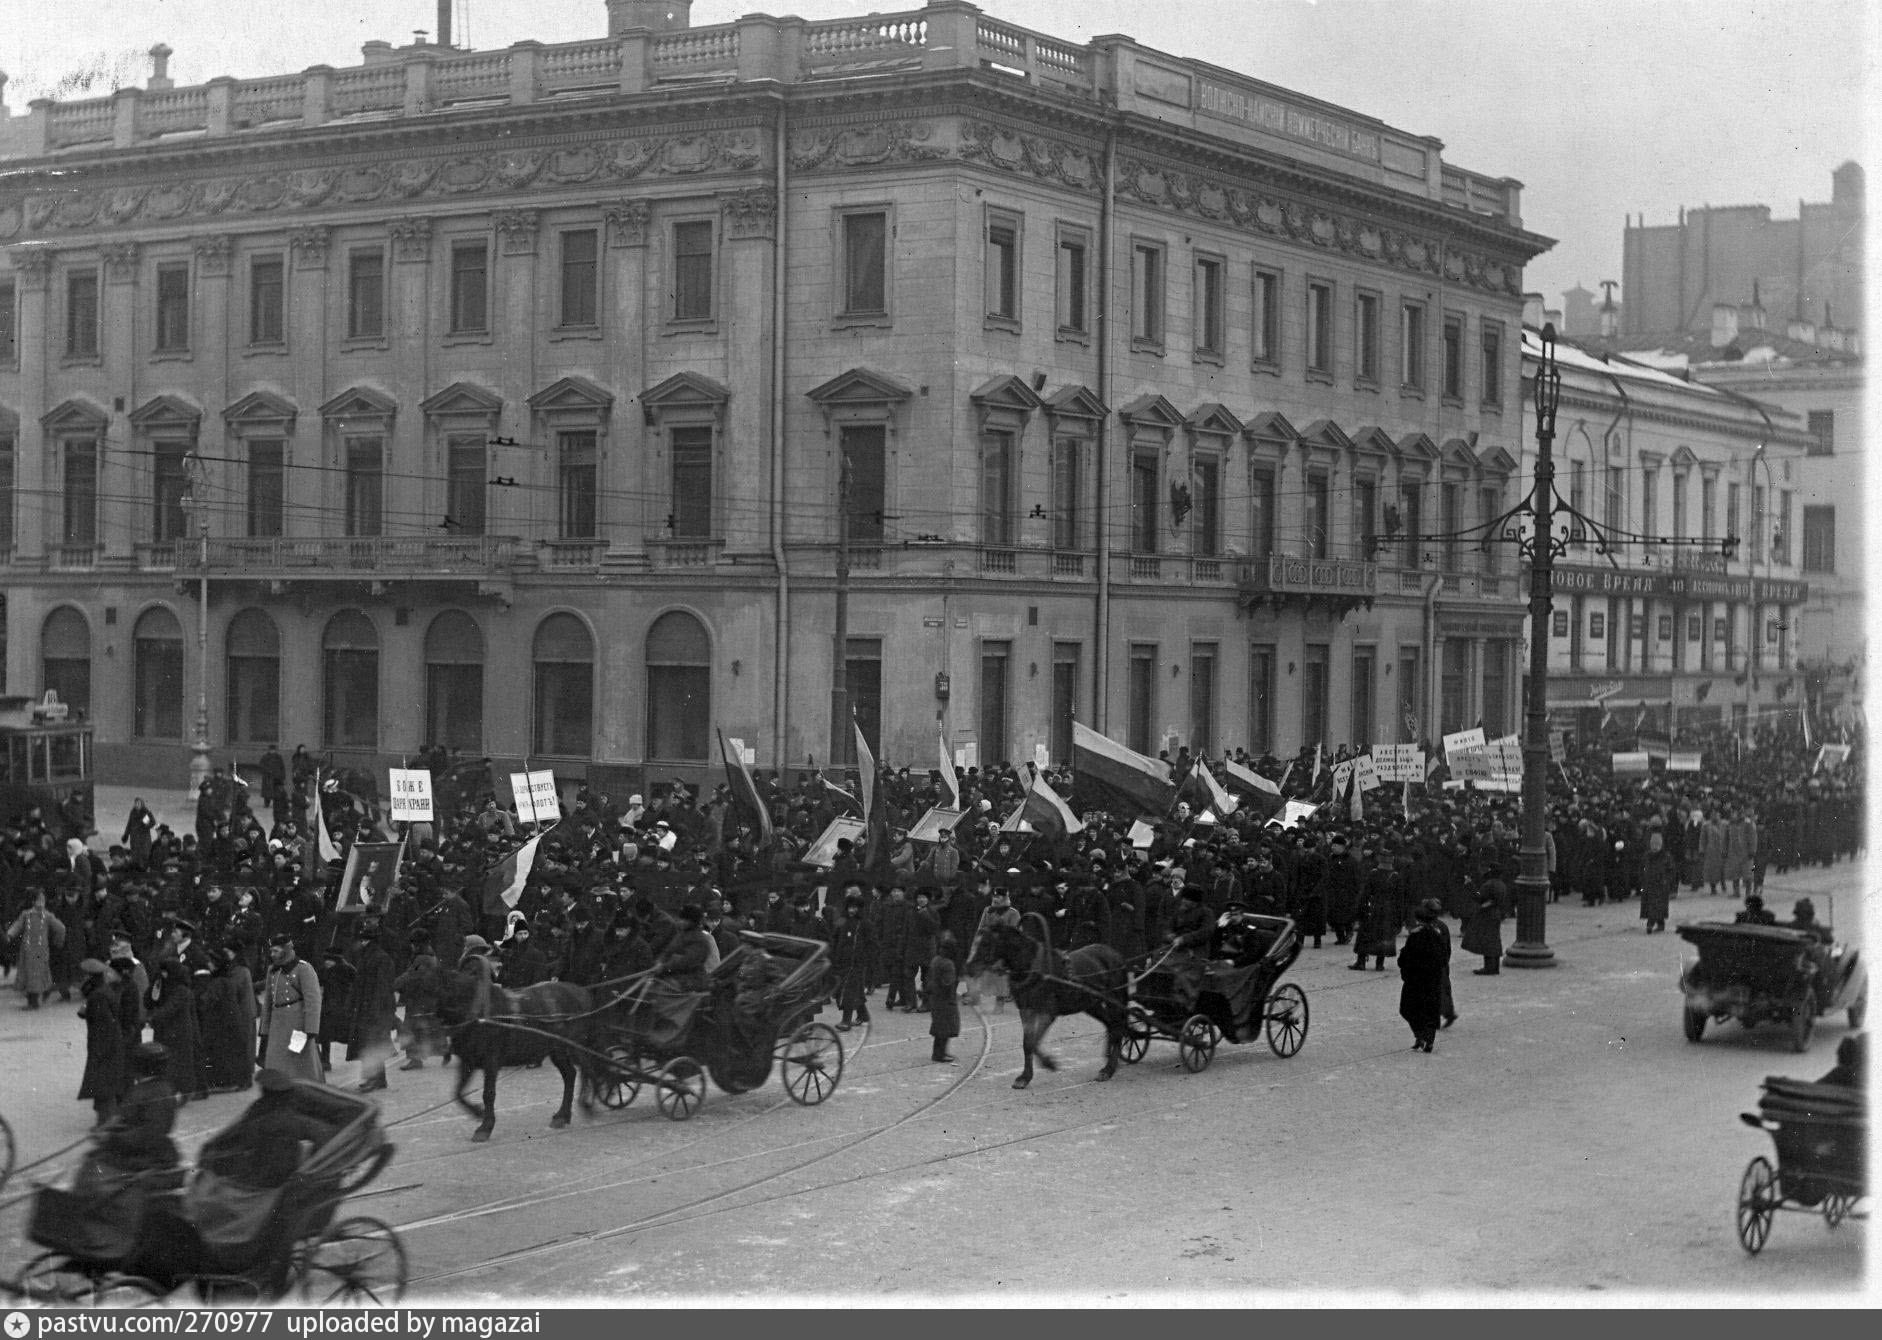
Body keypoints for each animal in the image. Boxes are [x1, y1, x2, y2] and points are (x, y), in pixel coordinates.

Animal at [427, 963, 602, 1144]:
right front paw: (478, 1112)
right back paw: (563, 1115)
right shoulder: (468, 1061)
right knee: (570, 1074)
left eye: (429, 986)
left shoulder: (491, 1061)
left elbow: (488, 1094)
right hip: (557, 1050)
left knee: (588, 1071)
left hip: (575, 1046)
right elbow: (458, 1092)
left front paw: (485, 1127)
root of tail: (582, 992)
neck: (478, 1013)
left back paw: (588, 1104)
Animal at [963, 910, 1121, 1091]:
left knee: (1118, 1026)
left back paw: (1109, 1069)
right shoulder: (1026, 1011)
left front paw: (1048, 1063)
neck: (1030, 969)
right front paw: (1025, 1077)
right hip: (1092, 1005)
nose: (968, 968)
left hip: (1115, 1000)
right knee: (1111, 1024)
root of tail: (1113, 953)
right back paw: (1109, 1061)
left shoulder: (1047, 1013)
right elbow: (1027, 1043)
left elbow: (1033, 1042)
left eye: (986, 943)